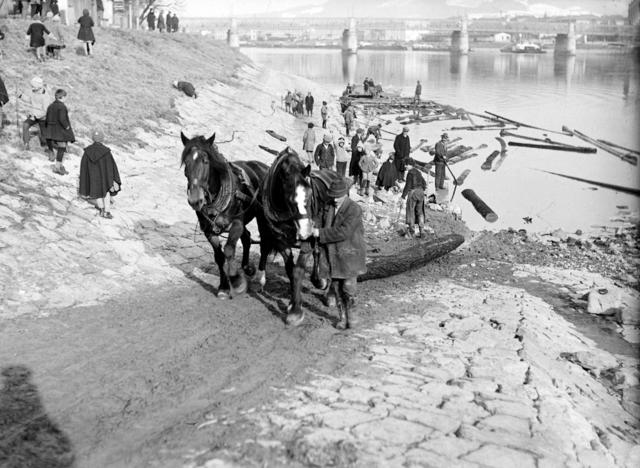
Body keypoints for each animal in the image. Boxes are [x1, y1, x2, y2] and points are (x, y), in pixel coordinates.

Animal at [180, 131, 270, 300]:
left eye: (206, 161)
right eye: (185, 163)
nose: (195, 200)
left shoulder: (236, 224)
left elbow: (228, 250)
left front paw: (236, 281)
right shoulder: (209, 231)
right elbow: (219, 256)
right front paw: (223, 287)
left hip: (263, 217)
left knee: (265, 245)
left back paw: (259, 277)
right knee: (247, 238)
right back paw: (247, 267)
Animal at [258, 148, 344, 328]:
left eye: (310, 196)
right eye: (290, 200)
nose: (306, 231)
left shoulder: (307, 242)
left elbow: (298, 270)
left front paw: (295, 311)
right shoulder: (280, 240)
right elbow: (290, 270)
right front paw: (292, 302)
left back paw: (331, 294)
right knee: (319, 253)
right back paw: (319, 280)